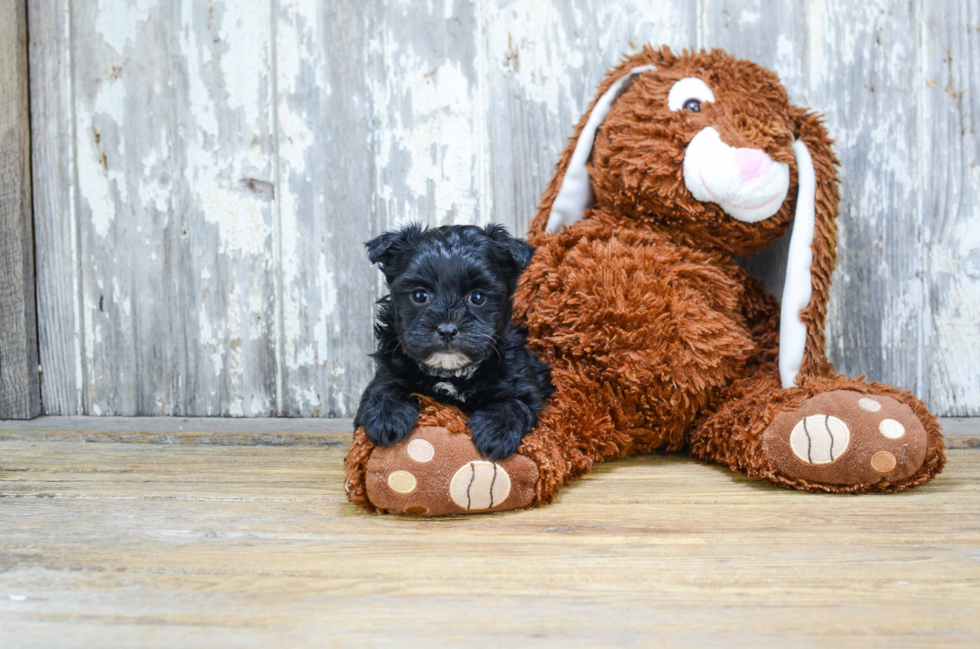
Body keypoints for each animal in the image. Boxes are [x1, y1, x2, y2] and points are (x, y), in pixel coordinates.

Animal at [352, 223, 552, 460]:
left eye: (477, 297)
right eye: (420, 295)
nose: (447, 330)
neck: (450, 373)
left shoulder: (521, 379)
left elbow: (516, 402)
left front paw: (496, 432)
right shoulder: (387, 367)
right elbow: (382, 388)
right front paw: (388, 418)